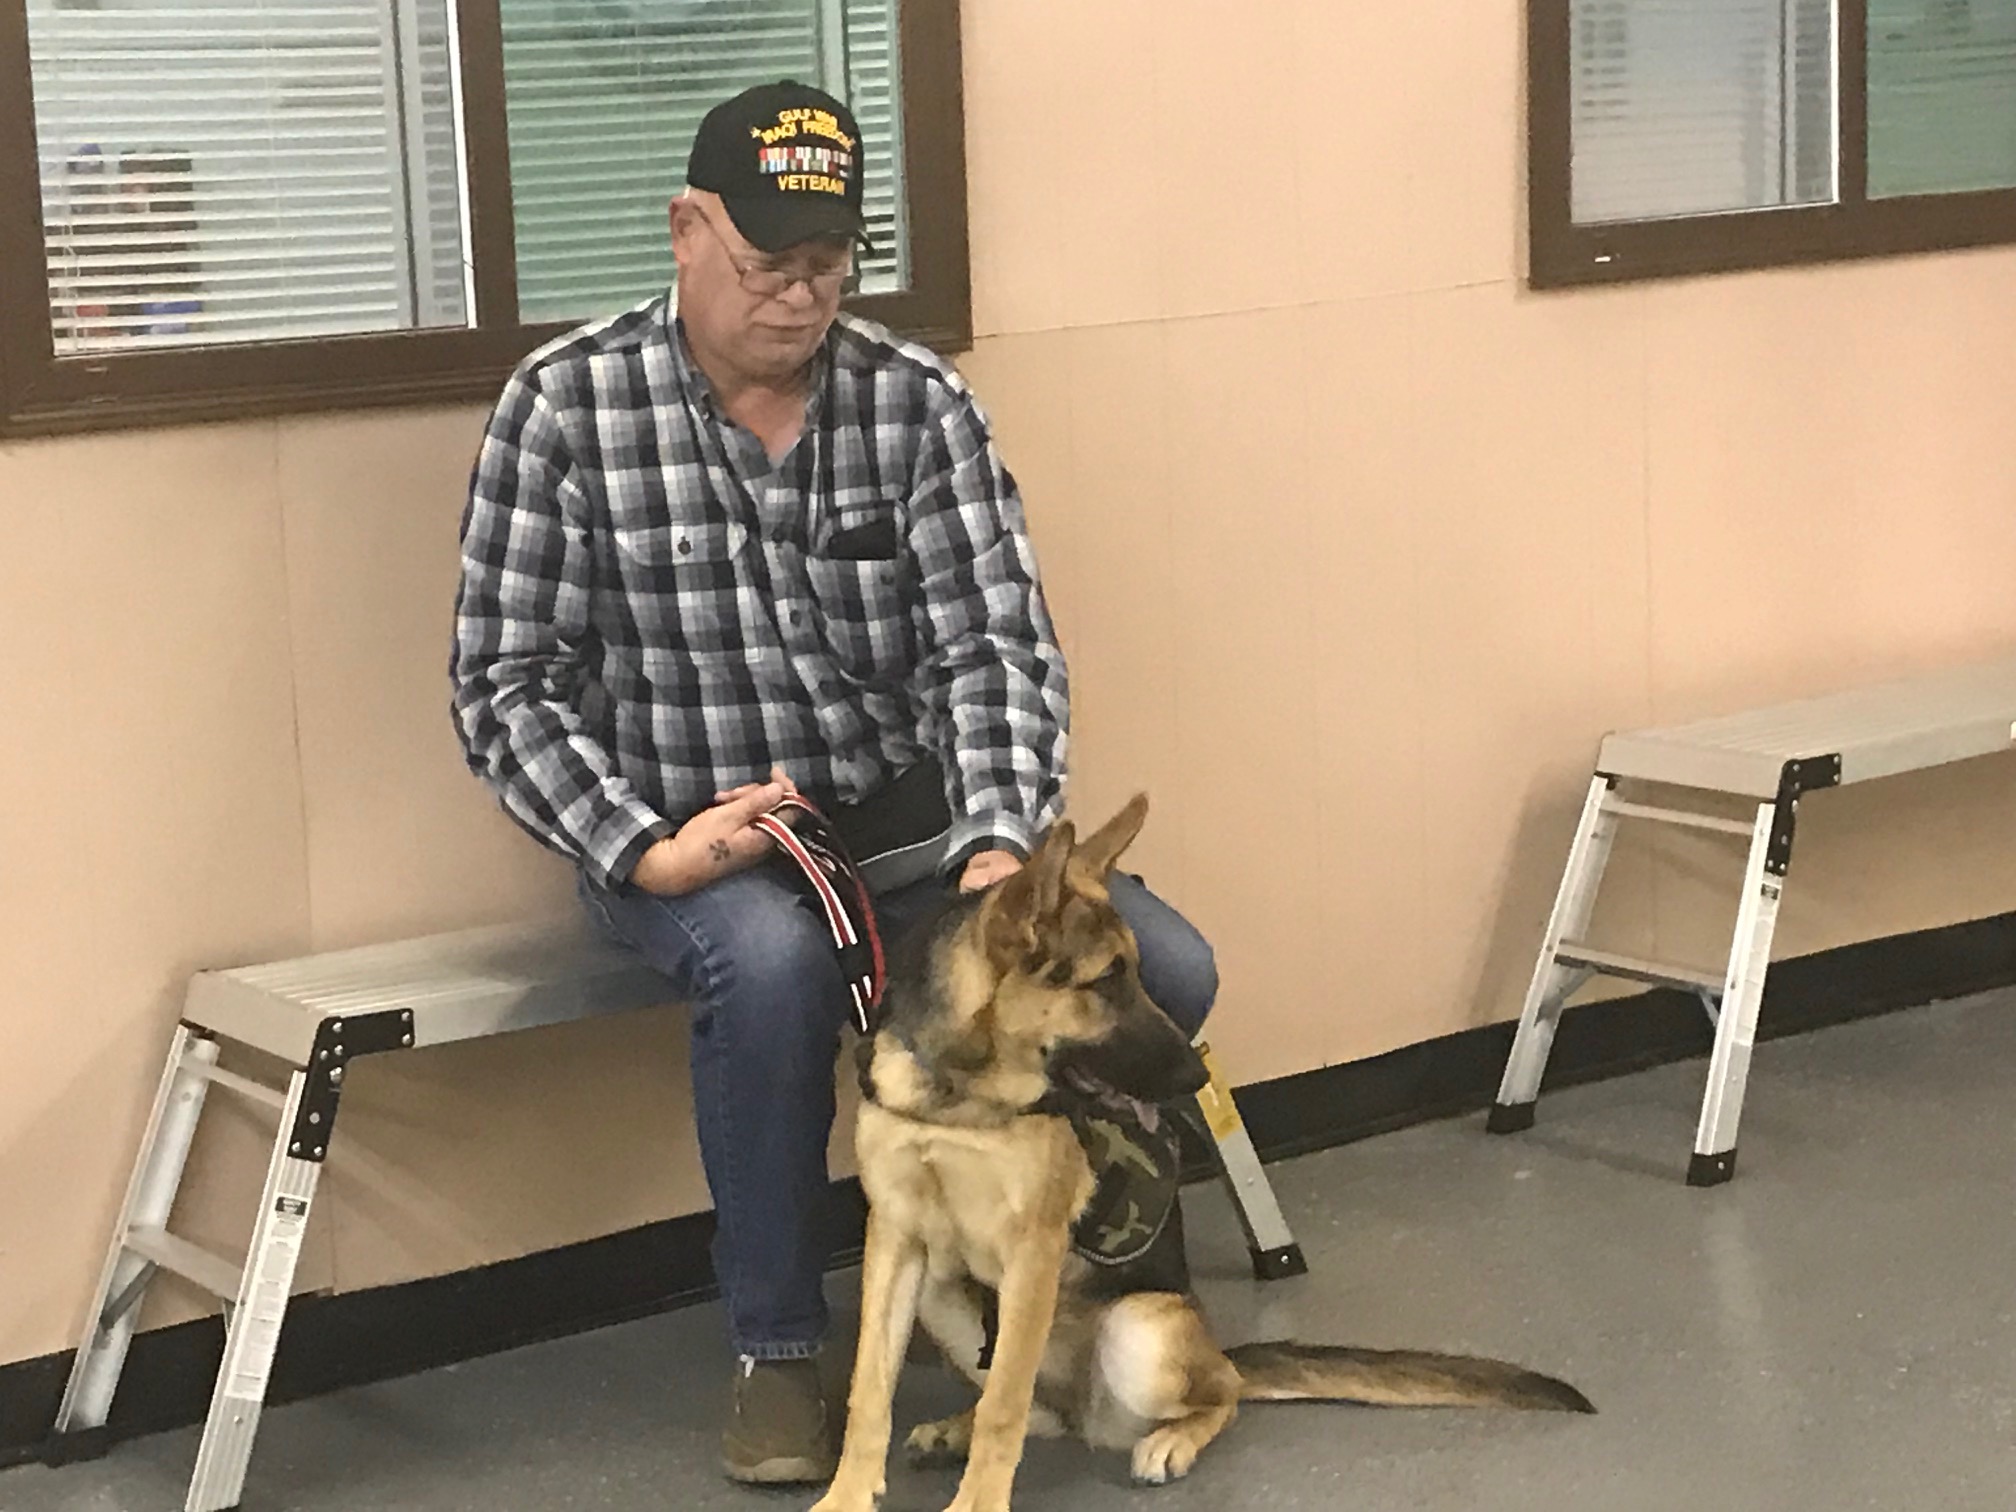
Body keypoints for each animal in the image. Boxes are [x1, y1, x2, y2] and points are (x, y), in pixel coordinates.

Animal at [810, 795, 1591, 1512]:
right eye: (1106, 980)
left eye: (1135, 972)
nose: (1195, 1076)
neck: (963, 1097)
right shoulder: (895, 1242)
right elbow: (871, 1391)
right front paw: (847, 1495)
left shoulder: (1032, 1250)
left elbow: (1003, 1405)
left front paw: (977, 1504)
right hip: (943, 1294)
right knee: (1035, 1406)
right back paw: (957, 1428)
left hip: (1140, 1333)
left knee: (1215, 1392)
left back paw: (1172, 1439)